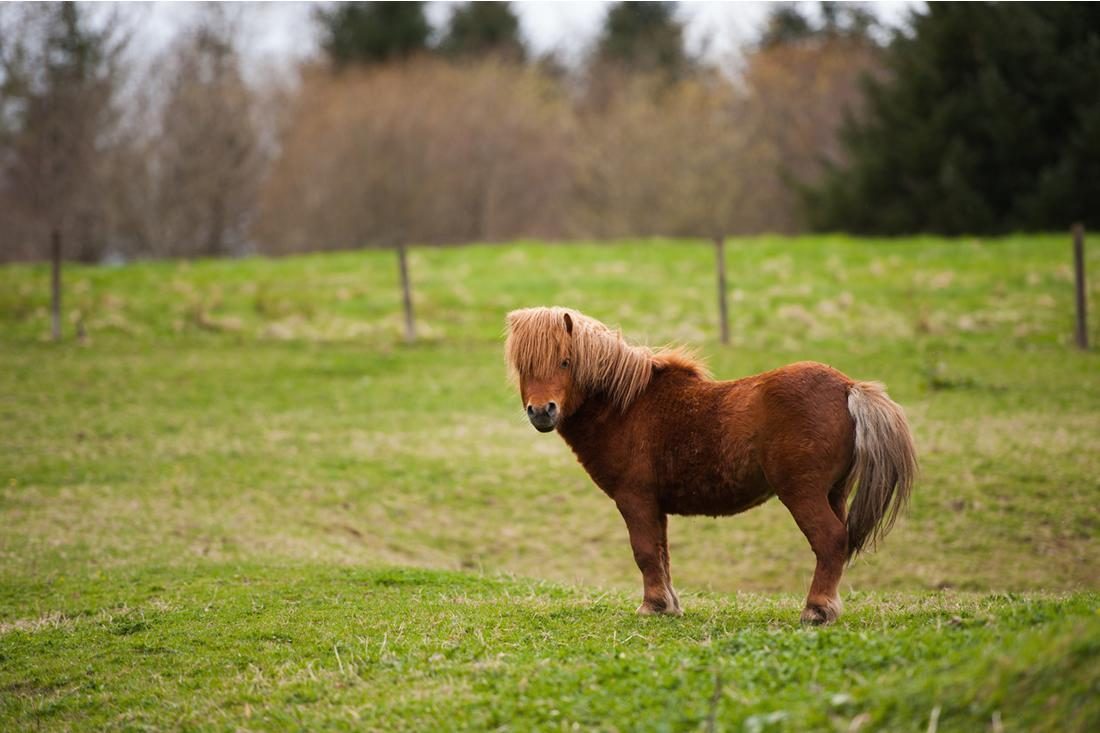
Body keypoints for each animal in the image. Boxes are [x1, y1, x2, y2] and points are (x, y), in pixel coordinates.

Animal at [503, 303, 915, 620]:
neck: (626, 406)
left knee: (829, 540)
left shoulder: (634, 499)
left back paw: (816, 610)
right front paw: (668, 605)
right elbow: (661, 554)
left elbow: (644, 552)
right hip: (834, 493)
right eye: (523, 367)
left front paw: (652, 606)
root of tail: (848, 388)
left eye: (565, 361)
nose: (541, 411)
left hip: (803, 493)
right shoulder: (655, 505)